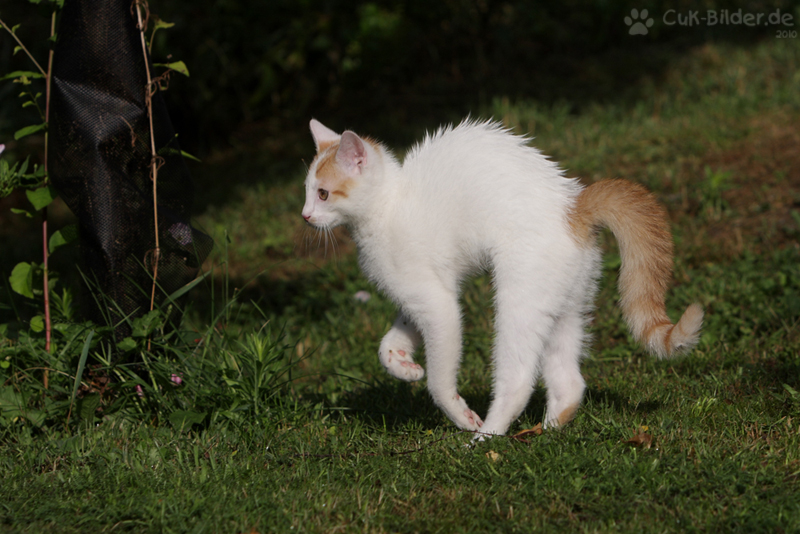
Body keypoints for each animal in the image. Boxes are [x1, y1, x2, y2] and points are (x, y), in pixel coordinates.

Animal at [304, 118, 704, 440]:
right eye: (307, 192)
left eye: (323, 193)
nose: (306, 215)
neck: (386, 206)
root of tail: (574, 208)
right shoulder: (431, 291)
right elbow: (393, 338)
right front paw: (401, 363)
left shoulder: (438, 304)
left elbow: (439, 379)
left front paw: (461, 415)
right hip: (566, 305)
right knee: (570, 382)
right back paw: (547, 431)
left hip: (519, 303)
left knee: (518, 380)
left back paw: (488, 438)